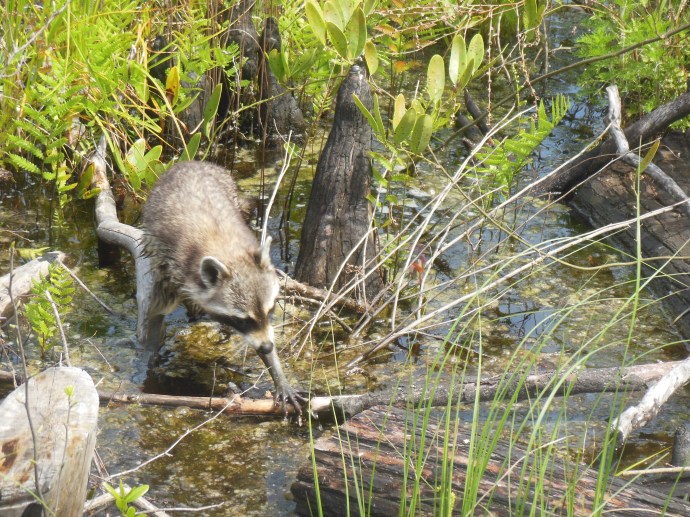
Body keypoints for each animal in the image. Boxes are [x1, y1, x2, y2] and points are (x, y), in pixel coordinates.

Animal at [141, 161, 303, 414]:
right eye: (243, 320)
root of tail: (193, 162)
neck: (228, 253)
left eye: (271, 311)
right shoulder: (170, 270)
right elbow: (157, 313)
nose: (268, 348)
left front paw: (277, 373)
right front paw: (149, 358)